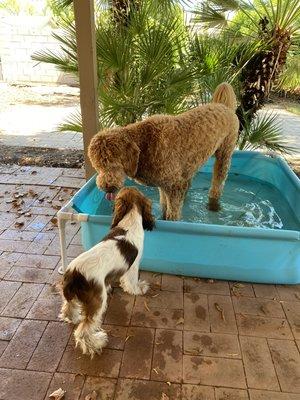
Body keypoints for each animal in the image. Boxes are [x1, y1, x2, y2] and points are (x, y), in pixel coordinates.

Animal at [60, 188, 156, 356]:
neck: (129, 222)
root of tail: (74, 275)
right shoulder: (133, 266)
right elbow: (132, 283)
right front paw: (139, 288)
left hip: (71, 297)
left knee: (68, 306)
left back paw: (73, 317)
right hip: (98, 302)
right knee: (83, 331)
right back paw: (96, 343)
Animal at [88, 81, 239, 219]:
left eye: (113, 165)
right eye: (98, 167)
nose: (106, 187)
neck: (143, 144)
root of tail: (223, 105)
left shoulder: (175, 185)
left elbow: (173, 215)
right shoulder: (164, 184)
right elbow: (164, 206)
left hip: (224, 154)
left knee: (218, 183)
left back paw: (213, 205)